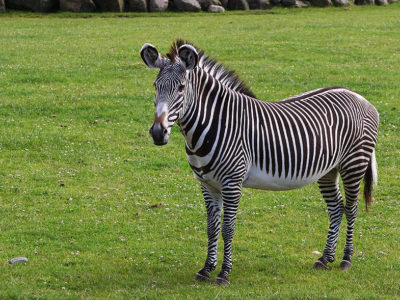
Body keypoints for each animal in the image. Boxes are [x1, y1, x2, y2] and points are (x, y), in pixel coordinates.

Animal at [140, 40, 378, 286]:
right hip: (328, 170)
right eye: (155, 86)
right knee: (336, 208)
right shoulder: (207, 184)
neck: (213, 124)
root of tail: (358, 96)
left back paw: (346, 259)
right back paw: (325, 258)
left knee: (351, 208)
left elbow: (228, 228)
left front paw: (224, 273)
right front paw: (206, 269)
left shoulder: (232, 182)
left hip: (354, 164)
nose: (157, 133)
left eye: (181, 87)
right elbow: (211, 228)